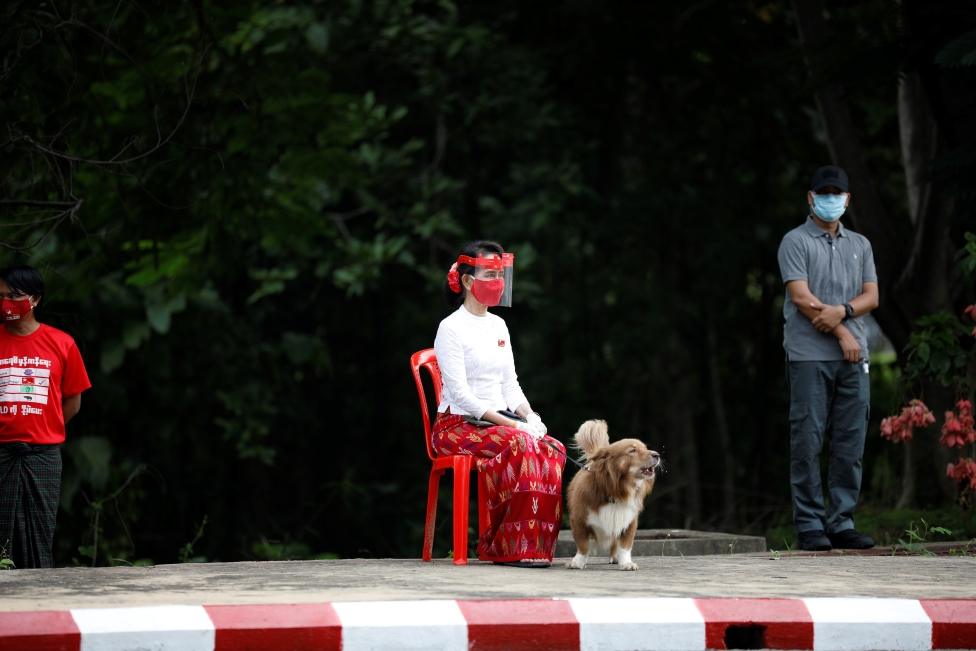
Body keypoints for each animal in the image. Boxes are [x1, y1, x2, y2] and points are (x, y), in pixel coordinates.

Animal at [564, 422, 664, 572]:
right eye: (632, 450)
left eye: (645, 448)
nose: (657, 454)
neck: (616, 491)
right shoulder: (578, 520)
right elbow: (583, 545)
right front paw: (578, 562)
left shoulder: (629, 522)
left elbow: (625, 546)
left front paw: (626, 563)